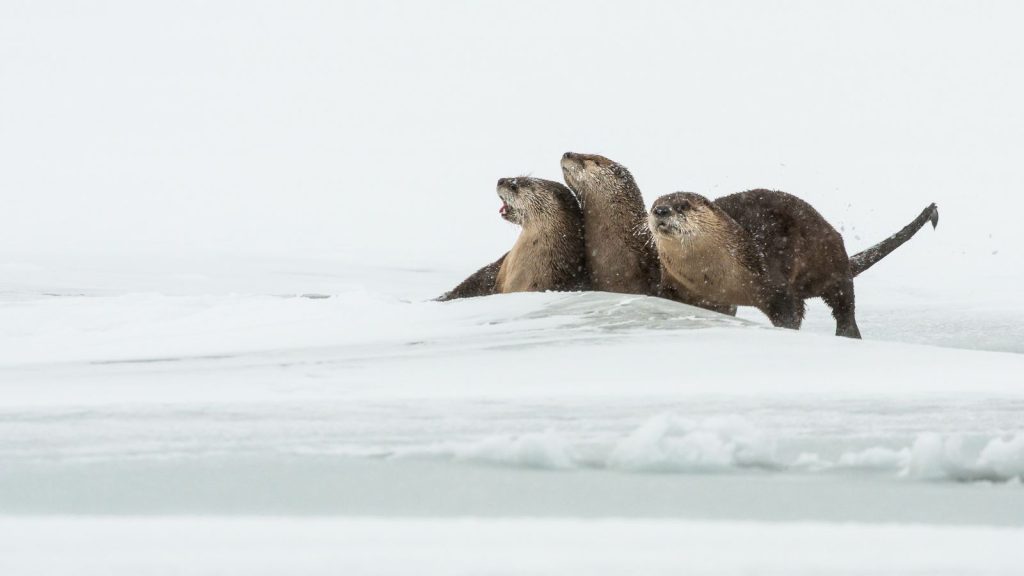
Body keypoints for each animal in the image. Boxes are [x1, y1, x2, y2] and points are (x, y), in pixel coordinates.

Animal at [649, 190, 939, 338]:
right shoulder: (673, 282)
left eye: (682, 205)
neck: (712, 276)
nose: (661, 211)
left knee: (844, 302)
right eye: (654, 204)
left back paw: (848, 334)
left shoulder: (769, 276)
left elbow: (790, 311)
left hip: (831, 264)